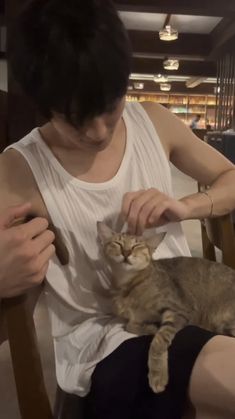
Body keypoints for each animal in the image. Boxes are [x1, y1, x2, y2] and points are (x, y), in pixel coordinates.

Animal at [97, 221, 235, 396]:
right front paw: (149, 327)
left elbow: (158, 340)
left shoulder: (178, 310)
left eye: (137, 245)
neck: (128, 285)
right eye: (117, 243)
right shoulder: (132, 317)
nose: (126, 252)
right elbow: (130, 325)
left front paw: (157, 376)